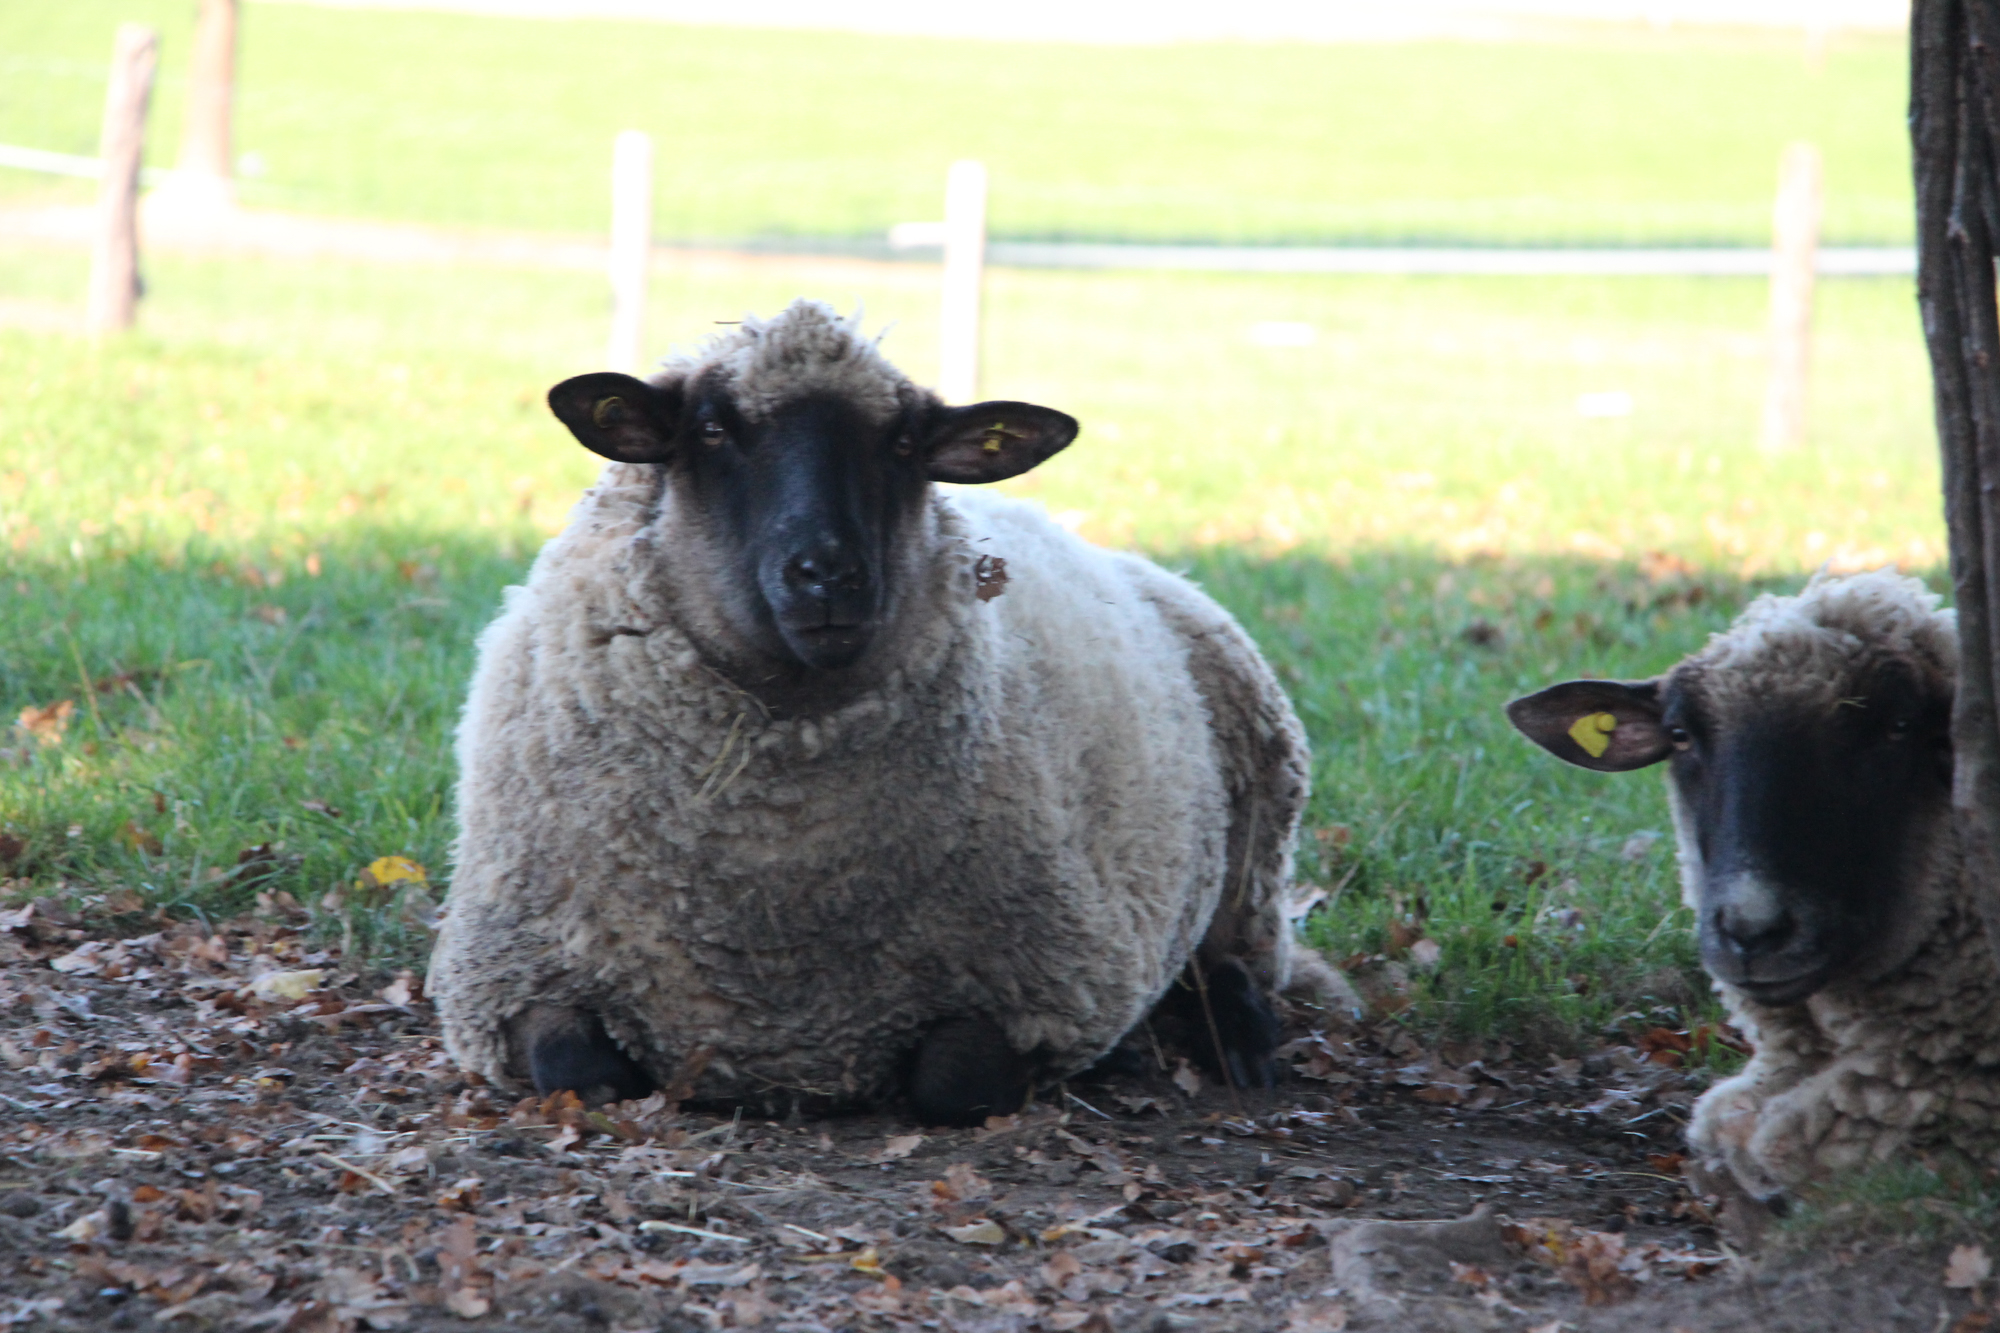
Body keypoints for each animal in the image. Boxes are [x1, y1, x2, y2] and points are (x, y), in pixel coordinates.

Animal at [428, 299, 1343, 1125]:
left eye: (903, 443)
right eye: (712, 429)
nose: (828, 574)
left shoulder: (1036, 986)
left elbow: (953, 1083)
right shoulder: (512, 981)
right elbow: (584, 1074)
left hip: (1255, 844)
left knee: (1234, 959)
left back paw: (1239, 1044)